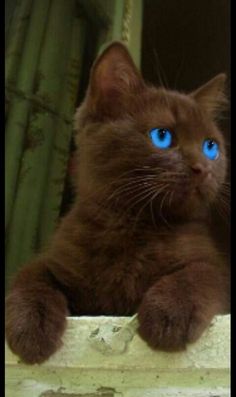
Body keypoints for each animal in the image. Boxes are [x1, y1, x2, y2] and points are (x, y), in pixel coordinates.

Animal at [6, 42, 230, 362]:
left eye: (210, 147)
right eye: (162, 136)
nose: (203, 167)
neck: (133, 224)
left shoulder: (211, 262)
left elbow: (201, 272)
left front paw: (171, 311)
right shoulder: (58, 256)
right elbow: (31, 275)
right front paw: (30, 324)